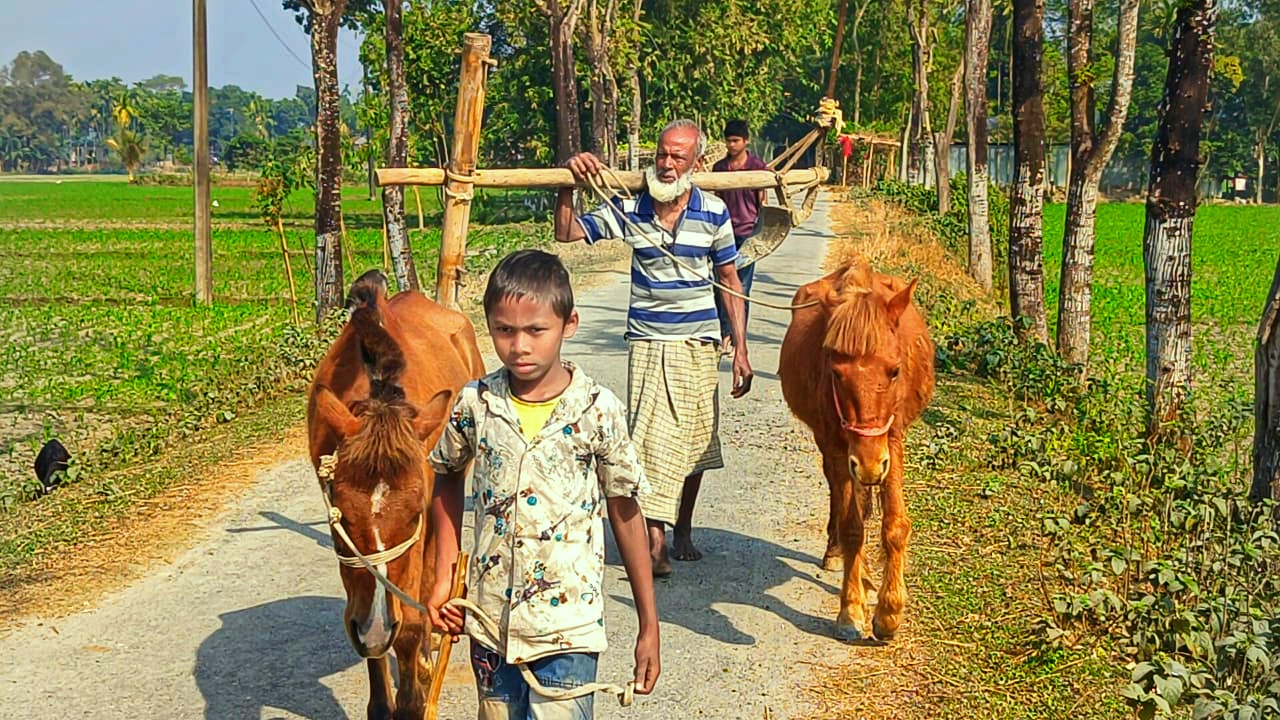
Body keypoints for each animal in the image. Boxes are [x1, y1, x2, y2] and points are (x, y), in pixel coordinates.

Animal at [773, 262, 936, 638]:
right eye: (836, 373)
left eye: (894, 370)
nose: (869, 464)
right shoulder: (838, 447)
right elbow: (851, 527)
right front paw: (850, 610)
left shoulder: (892, 442)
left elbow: (895, 525)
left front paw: (889, 611)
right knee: (840, 494)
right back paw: (843, 561)